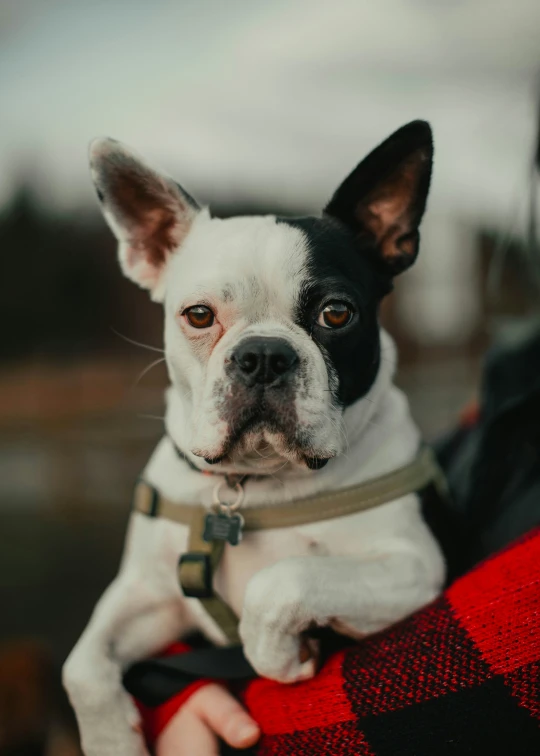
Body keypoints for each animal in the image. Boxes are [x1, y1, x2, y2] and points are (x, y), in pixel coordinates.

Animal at [62, 119, 442, 756]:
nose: (264, 355)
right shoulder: (149, 593)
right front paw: (113, 742)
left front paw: (283, 658)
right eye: (197, 315)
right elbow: (82, 667)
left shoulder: (415, 566)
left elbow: (281, 580)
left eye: (336, 313)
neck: (255, 487)